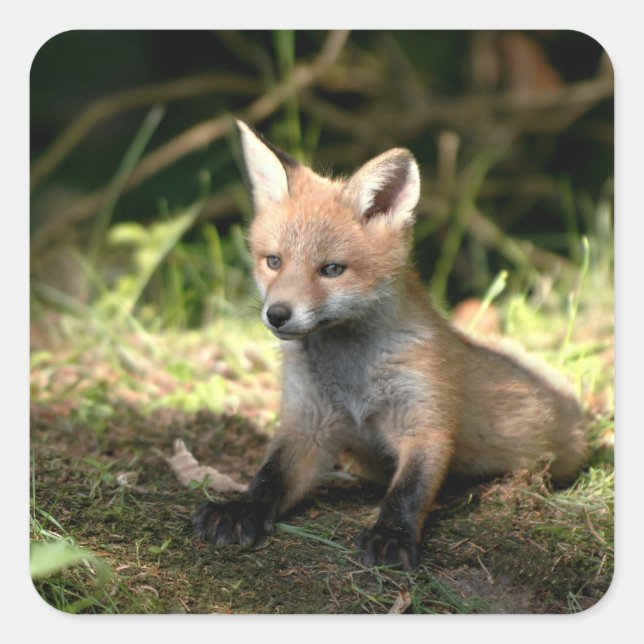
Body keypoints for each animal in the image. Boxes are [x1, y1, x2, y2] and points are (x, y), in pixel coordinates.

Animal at [193, 120, 587, 570]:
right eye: (273, 261)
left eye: (332, 269)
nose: (277, 314)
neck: (353, 373)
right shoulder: (307, 423)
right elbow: (268, 477)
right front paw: (240, 509)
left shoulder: (424, 421)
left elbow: (408, 490)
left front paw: (392, 535)